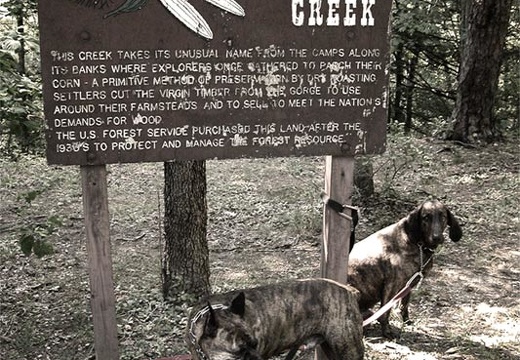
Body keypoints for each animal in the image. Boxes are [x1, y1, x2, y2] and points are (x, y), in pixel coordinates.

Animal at [348, 200, 462, 338]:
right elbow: (385, 313)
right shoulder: (392, 286)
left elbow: (404, 306)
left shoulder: (408, 285)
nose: (436, 237)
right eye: (426, 217)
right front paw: (387, 331)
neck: (417, 243)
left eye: (443, 216)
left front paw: (406, 321)